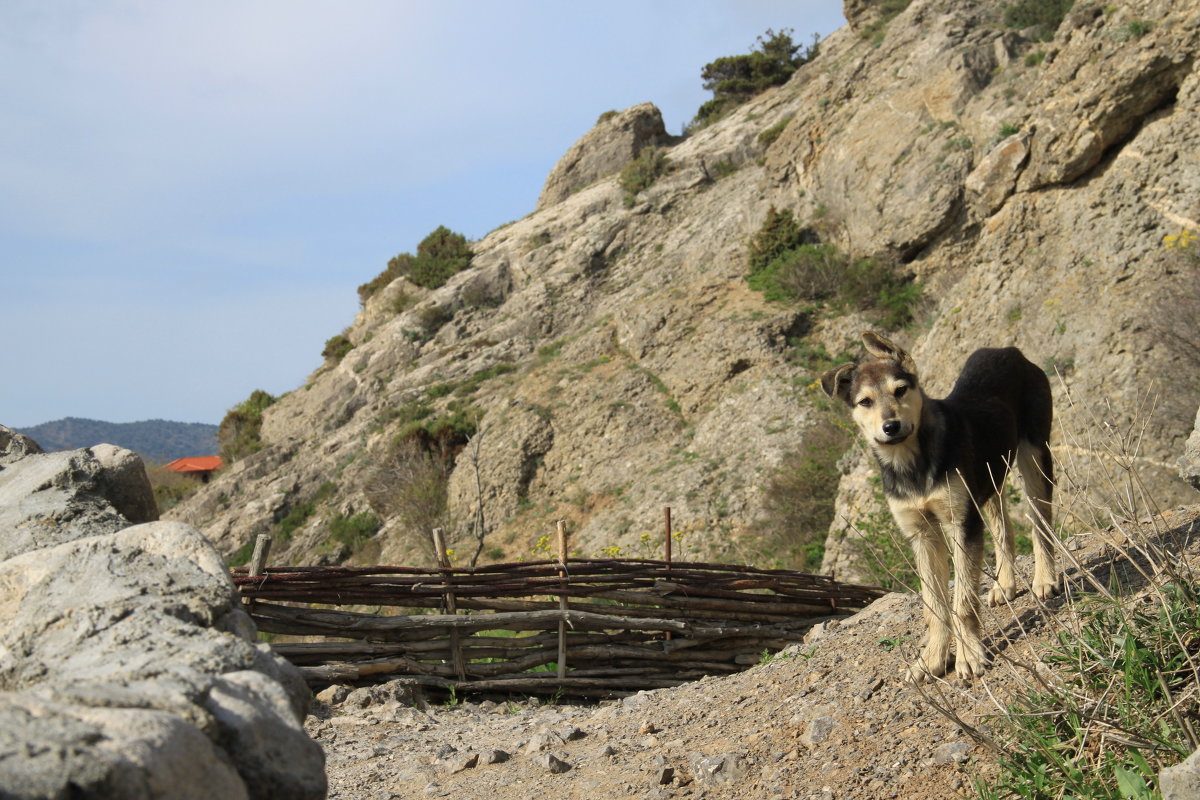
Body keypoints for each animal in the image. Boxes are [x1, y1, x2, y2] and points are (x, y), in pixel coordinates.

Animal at [816, 331, 1060, 681]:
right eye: (865, 402)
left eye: (900, 390)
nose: (891, 426)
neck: (911, 463)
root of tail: (1010, 351)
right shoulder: (922, 533)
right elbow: (934, 606)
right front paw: (932, 659)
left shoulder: (961, 522)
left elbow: (963, 602)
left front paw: (969, 655)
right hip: (989, 479)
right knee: (1005, 527)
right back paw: (1005, 585)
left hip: (1035, 454)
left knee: (1040, 521)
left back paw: (1044, 579)